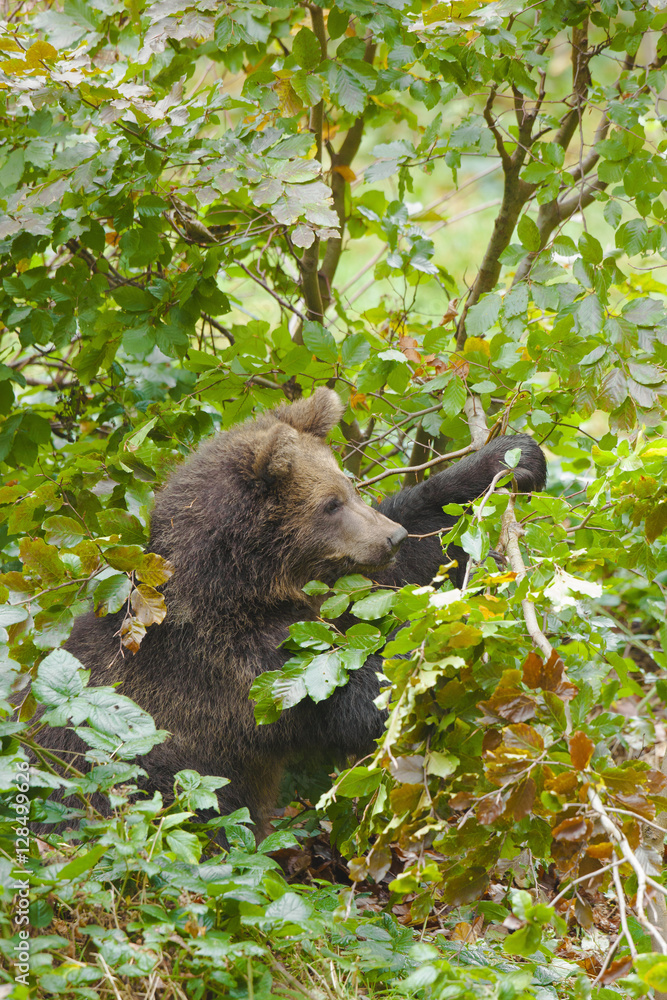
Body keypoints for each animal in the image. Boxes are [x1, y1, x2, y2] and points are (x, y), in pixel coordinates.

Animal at [31, 388, 544, 836]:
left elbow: (416, 556)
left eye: (349, 487)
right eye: (330, 504)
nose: (391, 537)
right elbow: (362, 695)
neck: (249, 585)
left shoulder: (333, 596)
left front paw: (511, 457)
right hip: (132, 773)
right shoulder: (239, 666)